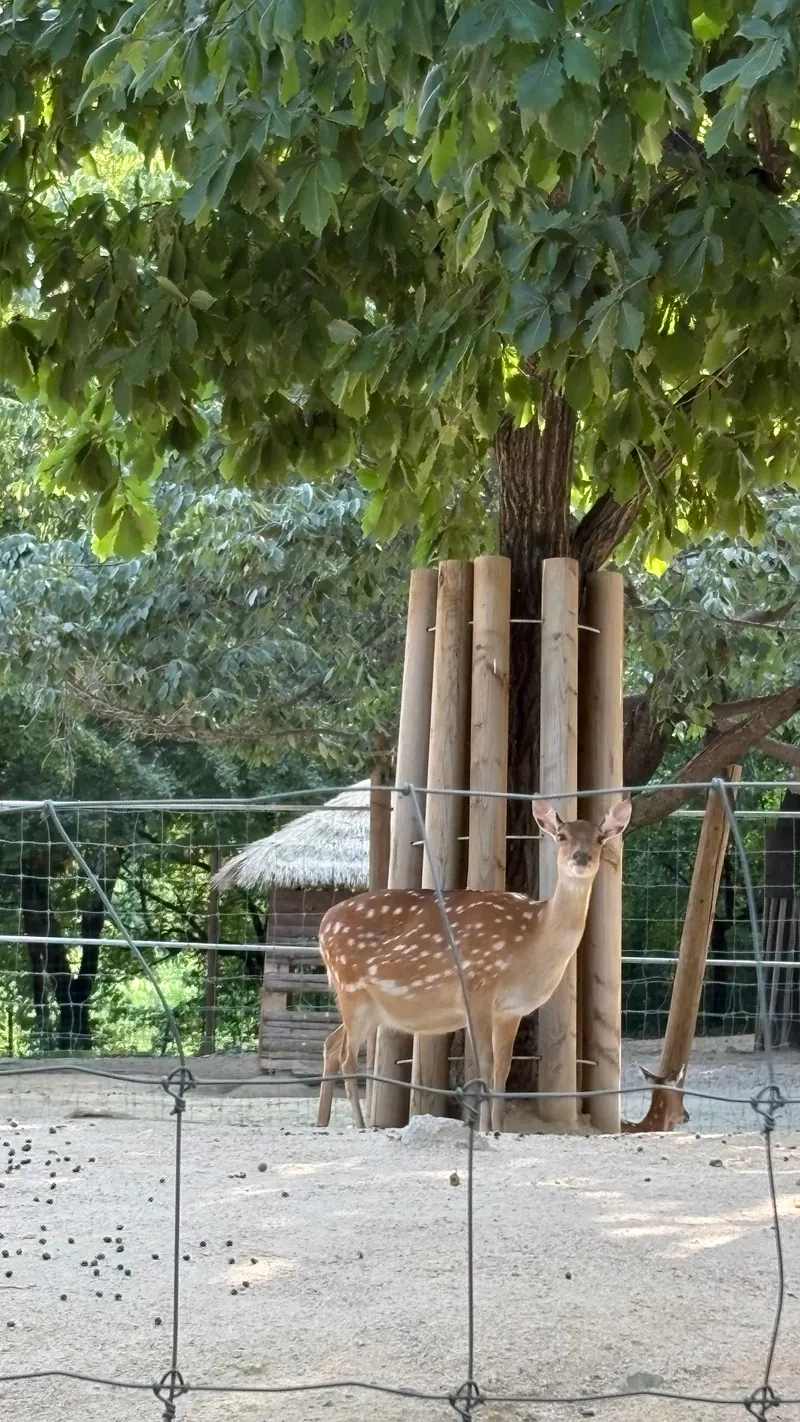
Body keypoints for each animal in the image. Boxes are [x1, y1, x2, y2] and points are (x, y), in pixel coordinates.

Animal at [316, 797, 632, 1133]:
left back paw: (322, 1122)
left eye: (600, 838)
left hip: (370, 1006)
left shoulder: (511, 1009)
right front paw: (483, 1128)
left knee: (331, 1044)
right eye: (562, 836)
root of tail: (322, 926)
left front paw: (497, 1128)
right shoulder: (478, 987)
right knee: (347, 1055)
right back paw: (360, 1124)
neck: (533, 939)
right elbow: (485, 1063)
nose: (581, 857)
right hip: (350, 987)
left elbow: (502, 1069)